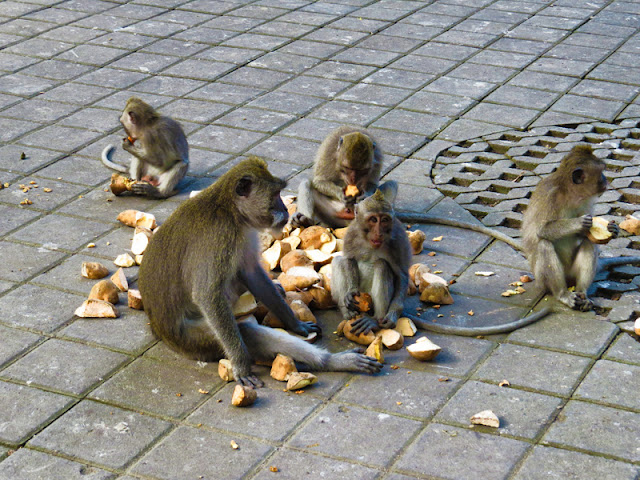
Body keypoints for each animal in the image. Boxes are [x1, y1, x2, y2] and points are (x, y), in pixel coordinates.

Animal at [138, 156, 382, 388]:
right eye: (275, 194)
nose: (284, 208)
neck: (231, 211)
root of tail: (159, 330)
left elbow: (252, 273)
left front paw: (295, 324)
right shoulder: (220, 237)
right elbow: (208, 296)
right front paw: (241, 366)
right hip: (193, 340)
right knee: (247, 331)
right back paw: (332, 362)